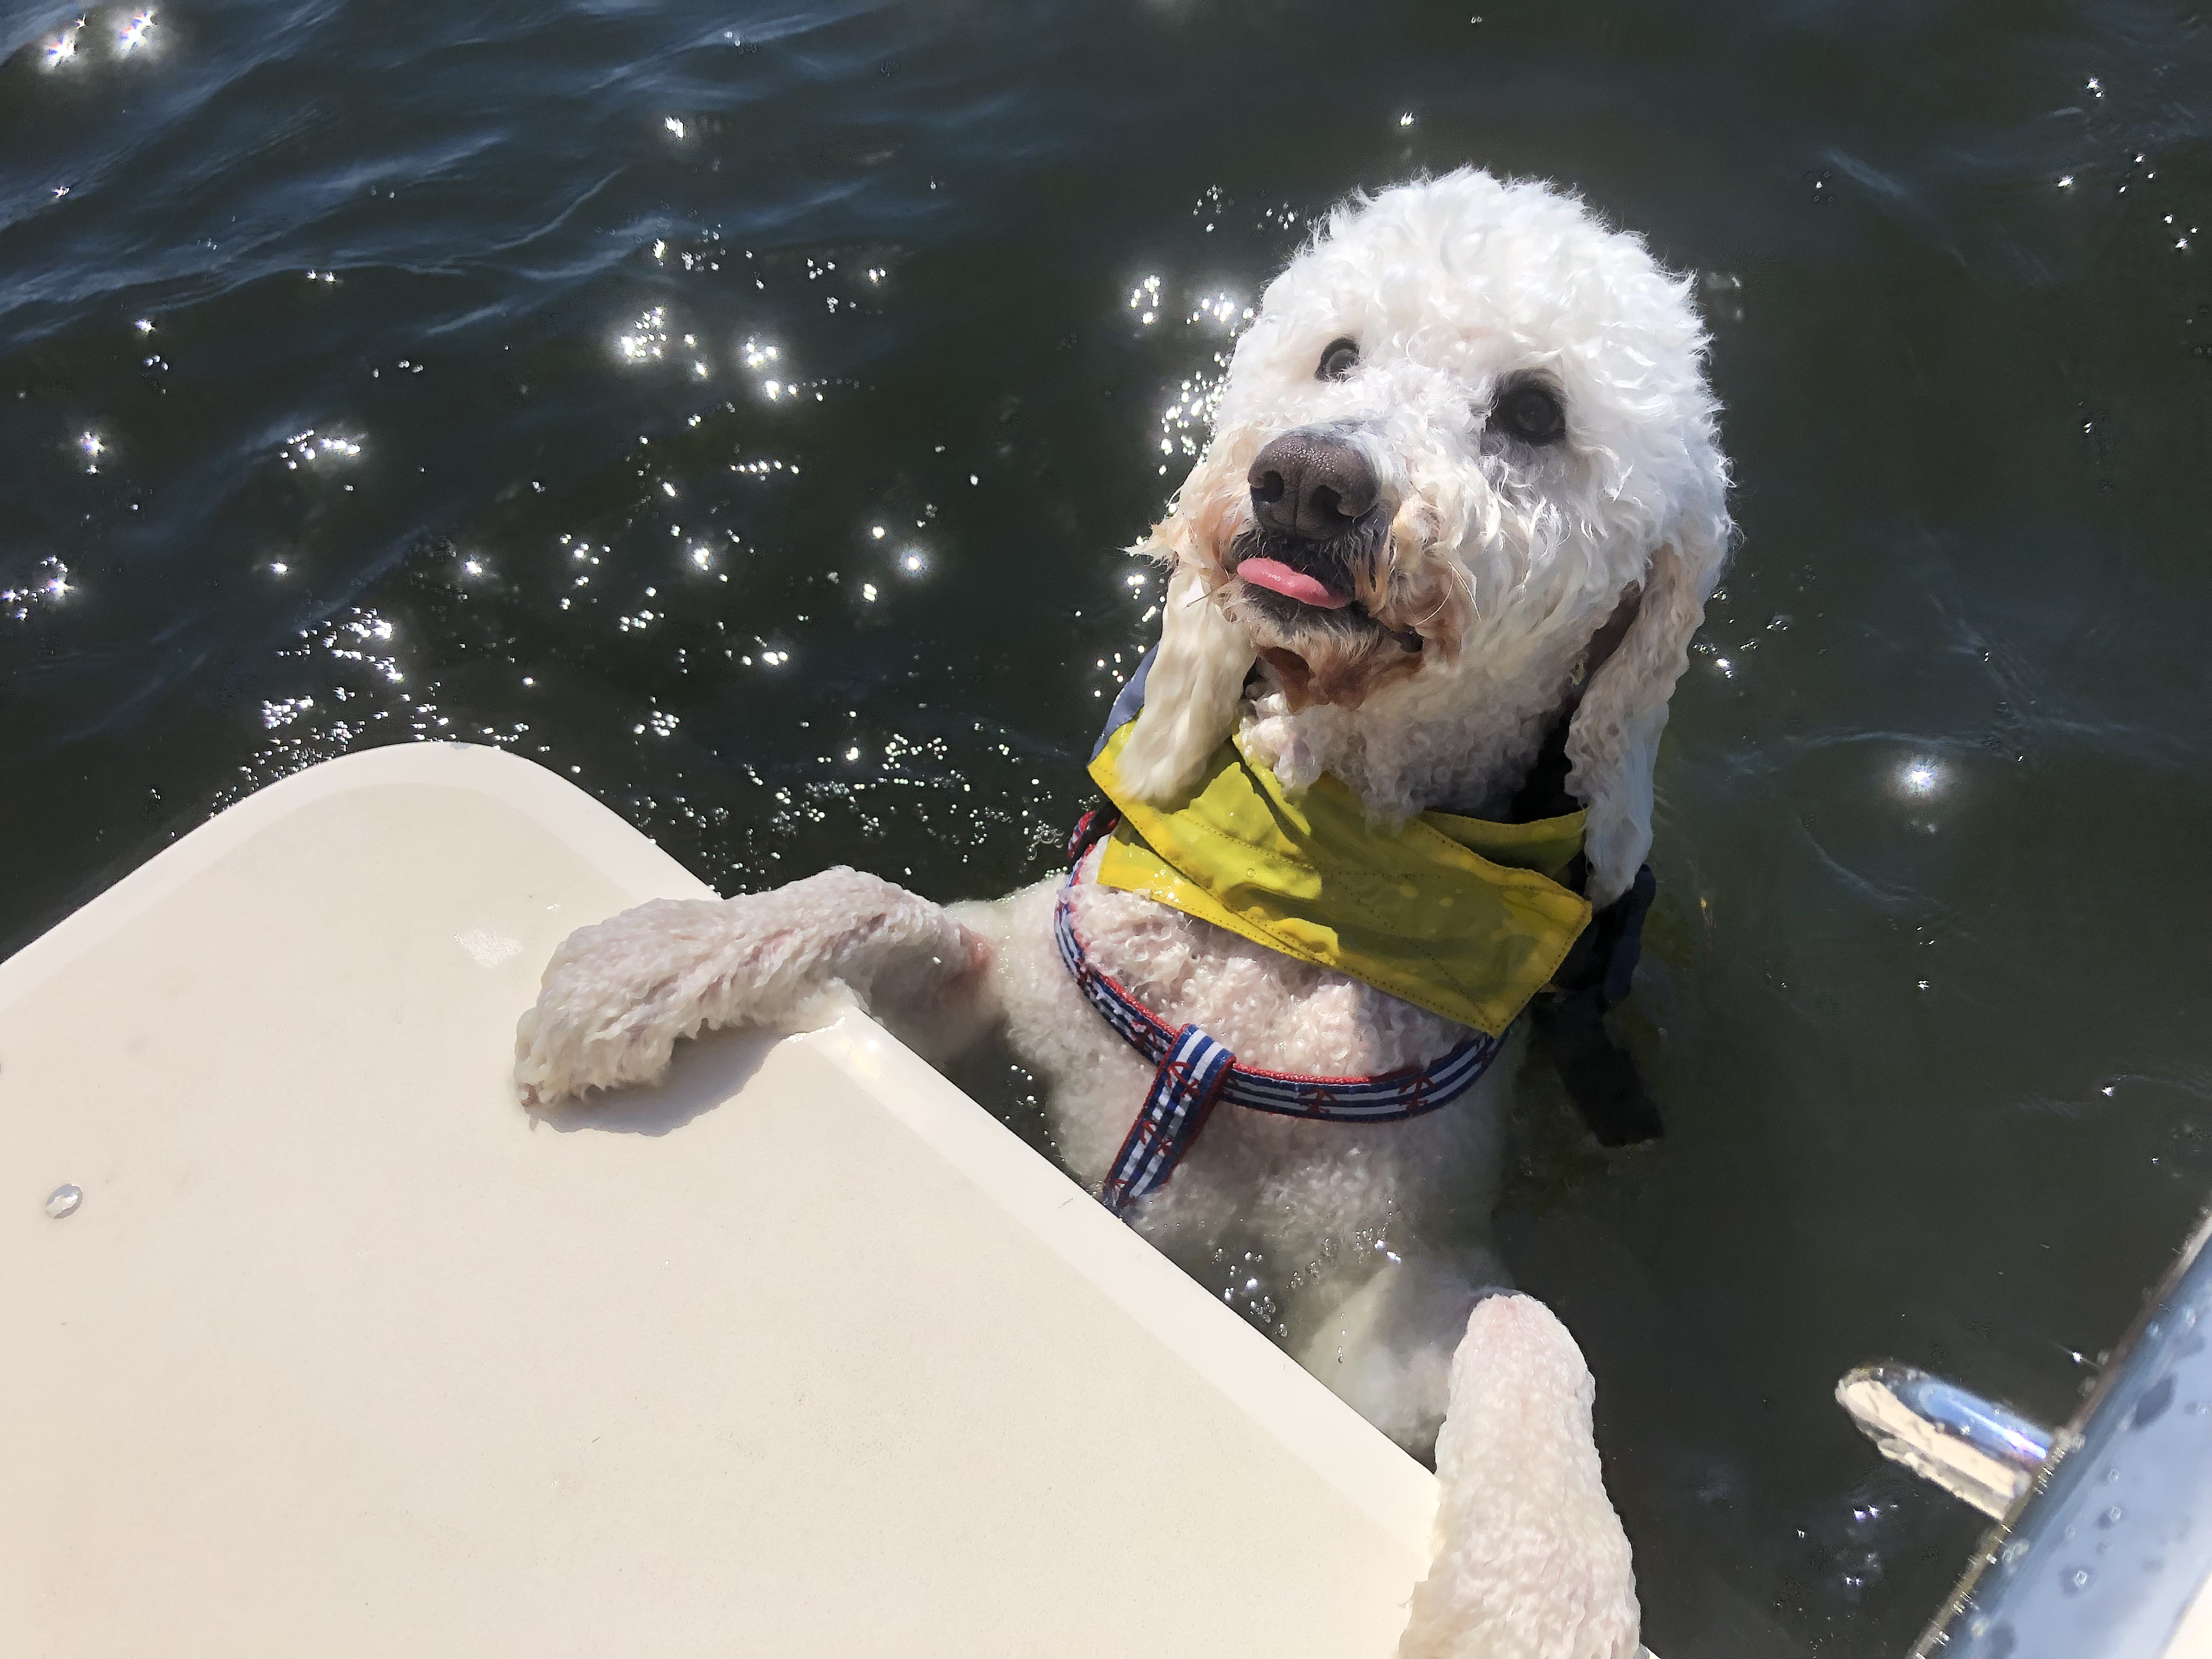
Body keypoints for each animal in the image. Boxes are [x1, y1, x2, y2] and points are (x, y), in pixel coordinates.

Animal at [513, 172, 1725, 1659]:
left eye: (1536, 412)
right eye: (1337, 355)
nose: (1307, 480)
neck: (1289, 906)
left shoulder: (1372, 1315)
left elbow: (1526, 1328)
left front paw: (1536, 1606)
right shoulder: (1002, 991)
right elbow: (874, 902)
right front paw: (627, 972)